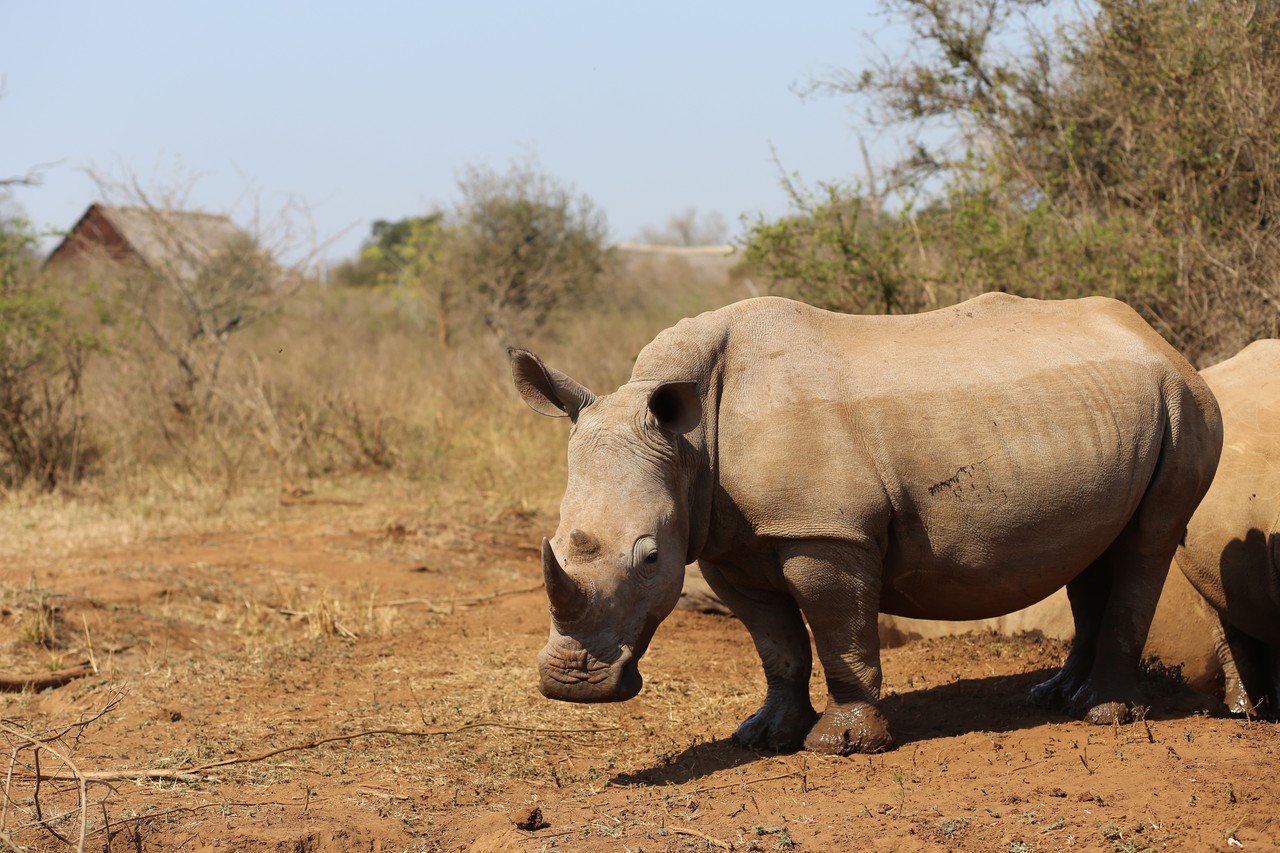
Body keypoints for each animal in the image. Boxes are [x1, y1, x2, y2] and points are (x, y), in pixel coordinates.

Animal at [510, 294, 1222, 754]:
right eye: (558, 544)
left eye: (651, 558)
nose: (572, 685)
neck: (688, 442)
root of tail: (1163, 342)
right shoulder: (727, 539)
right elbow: (776, 642)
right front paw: (763, 736)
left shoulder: (823, 529)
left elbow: (836, 630)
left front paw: (842, 743)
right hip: (1112, 416)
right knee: (1094, 552)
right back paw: (1055, 697)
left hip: (1185, 404)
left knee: (1147, 544)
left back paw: (1103, 714)